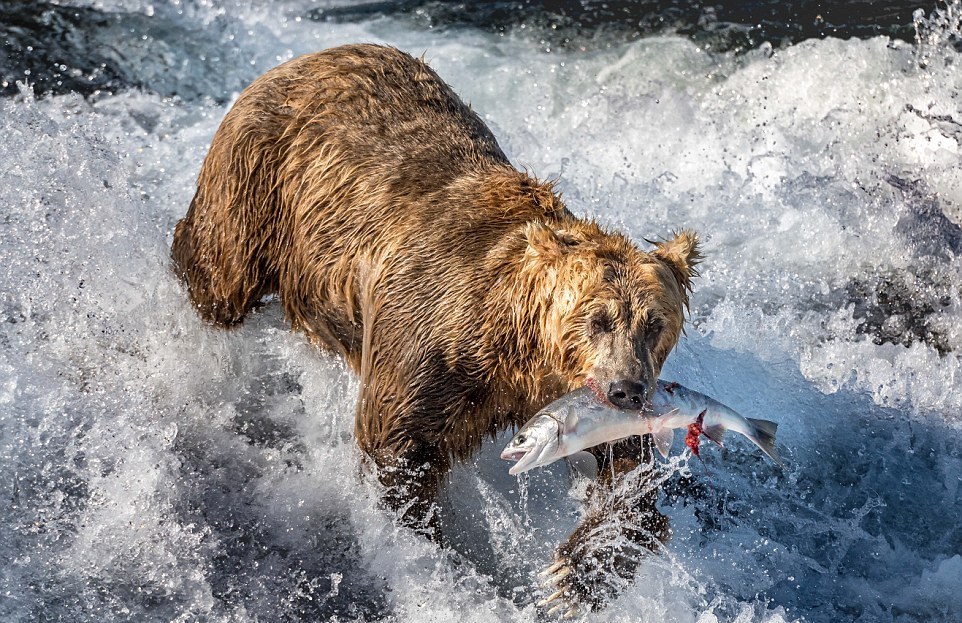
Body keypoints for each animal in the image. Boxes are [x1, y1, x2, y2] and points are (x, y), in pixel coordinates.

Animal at [172, 44, 696, 616]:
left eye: (654, 323)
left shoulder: (568, 396)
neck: (514, 351)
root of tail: (307, 56)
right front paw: (433, 552)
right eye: (597, 318)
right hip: (257, 181)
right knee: (215, 271)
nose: (627, 390)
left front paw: (575, 575)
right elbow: (396, 445)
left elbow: (628, 473)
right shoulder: (429, 344)